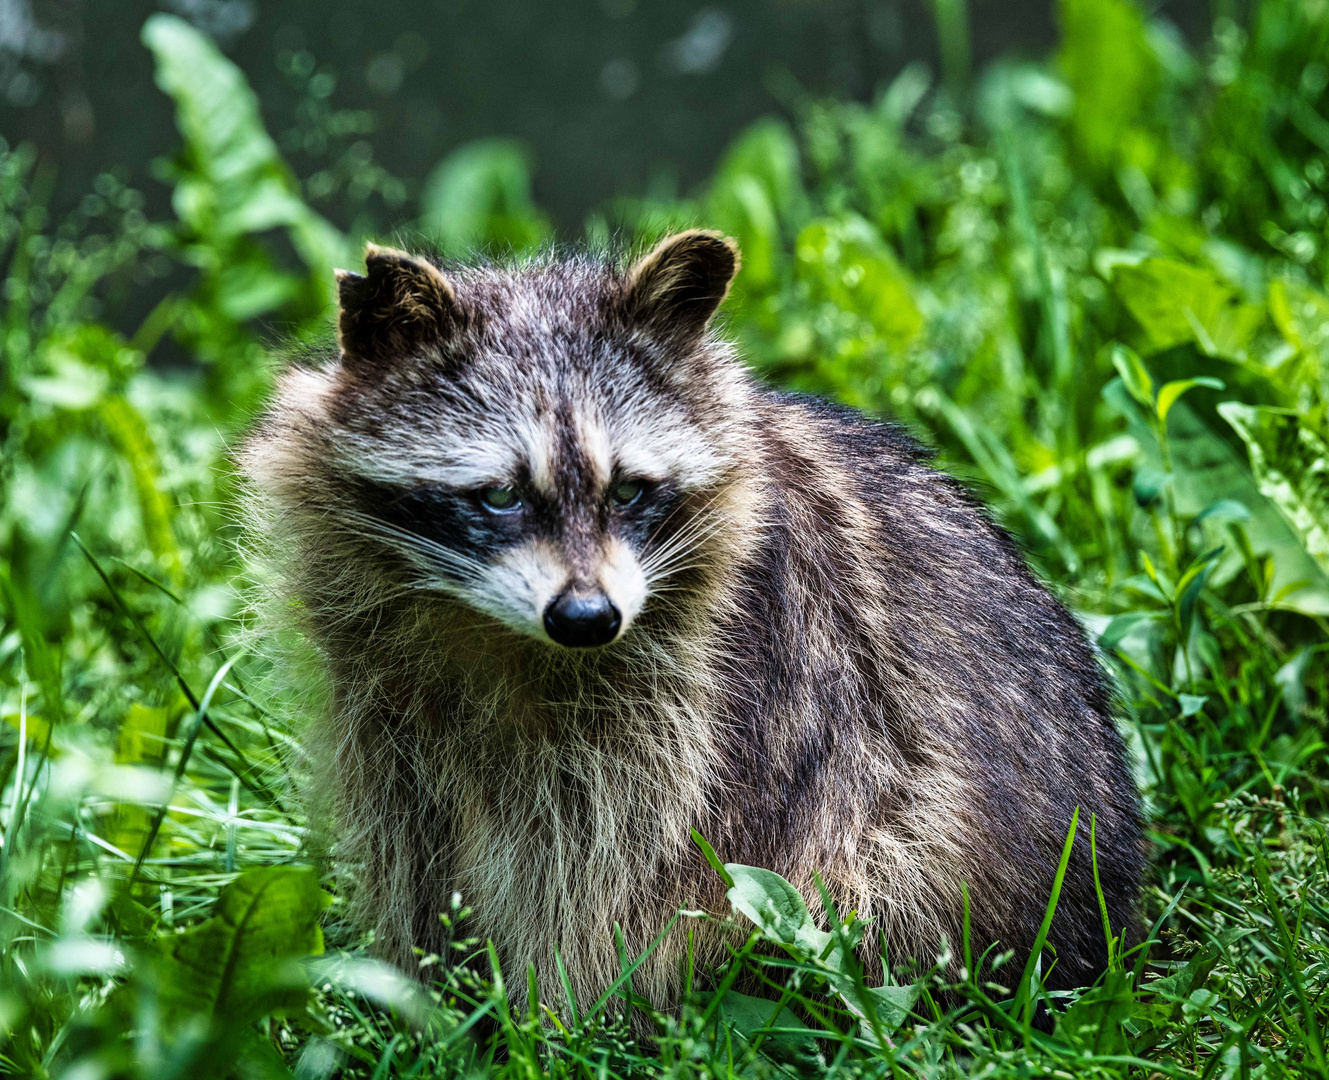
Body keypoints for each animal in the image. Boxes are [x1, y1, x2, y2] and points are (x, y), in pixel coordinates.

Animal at [244, 231, 1148, 1014]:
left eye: (628, 490)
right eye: (499, 494)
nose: (587, 618)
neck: (495, 629)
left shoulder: (726, 679)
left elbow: (613, 863)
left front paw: (559, 1008)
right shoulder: (376, 684)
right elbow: (408, 831)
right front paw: (422, 985)